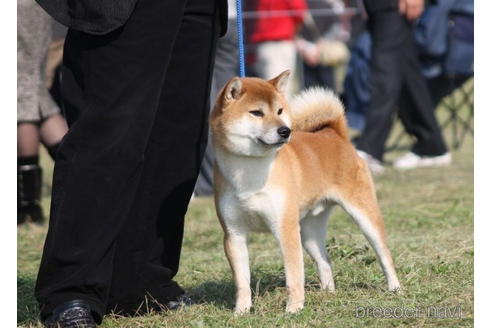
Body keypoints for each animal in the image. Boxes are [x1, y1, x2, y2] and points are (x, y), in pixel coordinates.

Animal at [210, 70, 400, 314]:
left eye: (280, 111)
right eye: (256, 113)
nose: (285, 130)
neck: (249, 169)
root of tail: (335, 134)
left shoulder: (285, 228)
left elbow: (293, 276)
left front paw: (294, 309)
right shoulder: (234, 234)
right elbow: (242, 281)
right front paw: (241, 312)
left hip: (364, 217)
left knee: (384, 254)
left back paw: (395, 288)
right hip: (309, 231)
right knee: (325, 261)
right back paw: (328, 294)